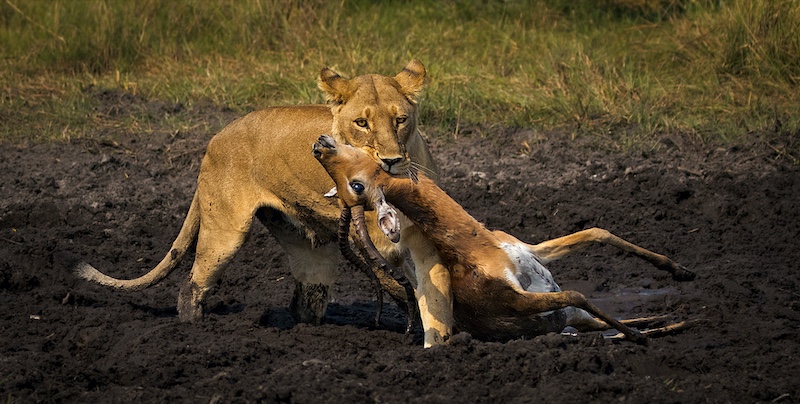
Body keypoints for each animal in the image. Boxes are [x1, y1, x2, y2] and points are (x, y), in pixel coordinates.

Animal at [313, 135, 695, 344]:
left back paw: (675, 319)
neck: (479, 247)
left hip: (571, 316)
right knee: (600, 326)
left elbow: (597, 232)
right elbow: (577, 291)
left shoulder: (531, 250)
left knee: (605, 323)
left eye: (356, 186)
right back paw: (656, 327)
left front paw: (683, 271)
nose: (319, 146)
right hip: (568, 318)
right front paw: (639, 339)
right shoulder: (516, 299)